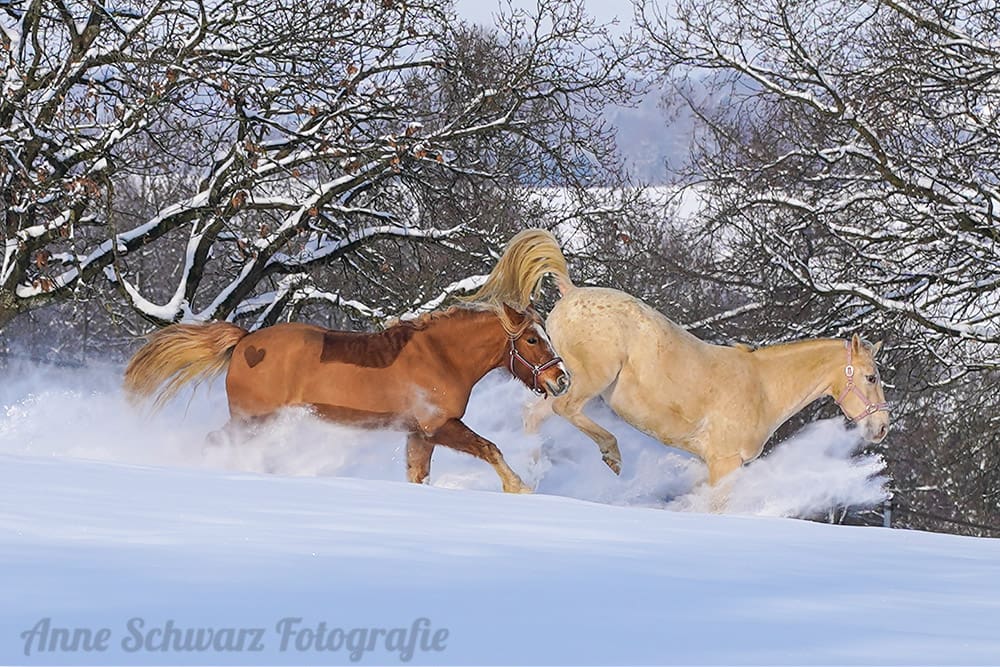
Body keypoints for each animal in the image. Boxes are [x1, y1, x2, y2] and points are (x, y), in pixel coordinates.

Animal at [123, 302, 571, 493]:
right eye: (532, 339)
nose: (561, 380)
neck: (440, 356)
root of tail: (246, 340)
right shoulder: (439, 425)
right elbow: (490, 447)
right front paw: (519, 489)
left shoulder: (419, 434)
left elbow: (418, 475)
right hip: (252, 419)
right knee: (215, 441)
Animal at [468, 229, 890, 486]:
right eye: (871, 377)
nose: (882, 428)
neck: (763, 389)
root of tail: (570, 293)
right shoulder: (724, 464)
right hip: (584, 381)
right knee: (561, 410)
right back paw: (608, 456)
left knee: (534, 416)